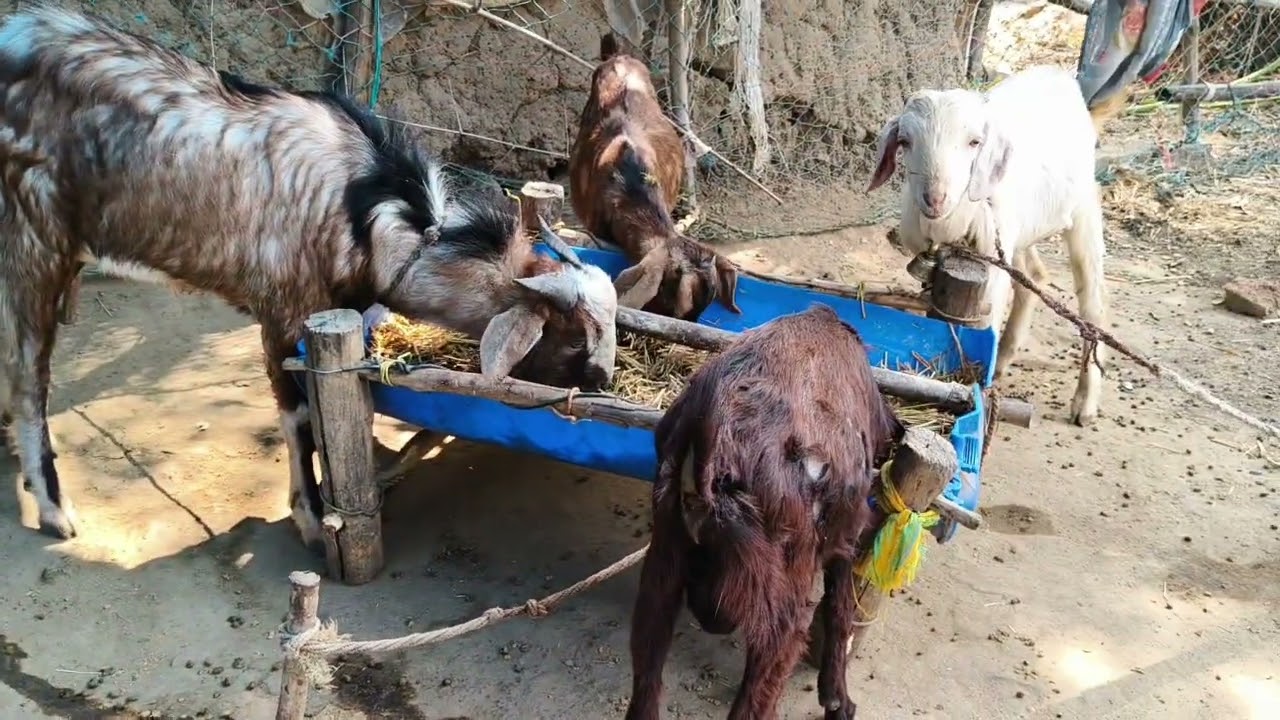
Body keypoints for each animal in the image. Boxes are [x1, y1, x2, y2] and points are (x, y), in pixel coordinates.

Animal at [0, 7, 619, 545]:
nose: (602, 384)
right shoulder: (283, 310)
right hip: (34, 238)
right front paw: (314, 518)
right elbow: (298, 416)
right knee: (30, 374)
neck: (374, 214)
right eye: (572, 337)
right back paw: (53, 507)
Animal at [626, 303, 904, 720]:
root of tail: (713, 434)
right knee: (760, 687)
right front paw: (837, 701)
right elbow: (840, 610)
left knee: (647, 666)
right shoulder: (846, 536)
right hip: (783, 597)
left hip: (665, 559)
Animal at [867, 65, 1109, 427]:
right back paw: (1005, 357)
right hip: (1018, 232)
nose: (934, 198)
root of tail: (1057, 73)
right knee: (1033, 276)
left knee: (1093, 303)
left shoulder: (991, 271)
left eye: (974, 142)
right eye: (905, 141)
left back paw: (1085, 402)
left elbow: (982, 325)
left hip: (1083, 209)